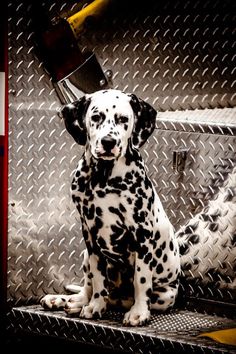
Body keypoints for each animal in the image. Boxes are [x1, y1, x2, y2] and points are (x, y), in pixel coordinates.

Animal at [41, 89, 181, 326]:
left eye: (123, 119)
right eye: (96, 117)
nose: (108, 142)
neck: (103, 177)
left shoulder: (142, 235)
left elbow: (141, 279)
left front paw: (138, 312)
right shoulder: (90, 235)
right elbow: (98, 279)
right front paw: (95, 306)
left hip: (166, 295)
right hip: (85, 256)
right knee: (88, 288)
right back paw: (68, 301)